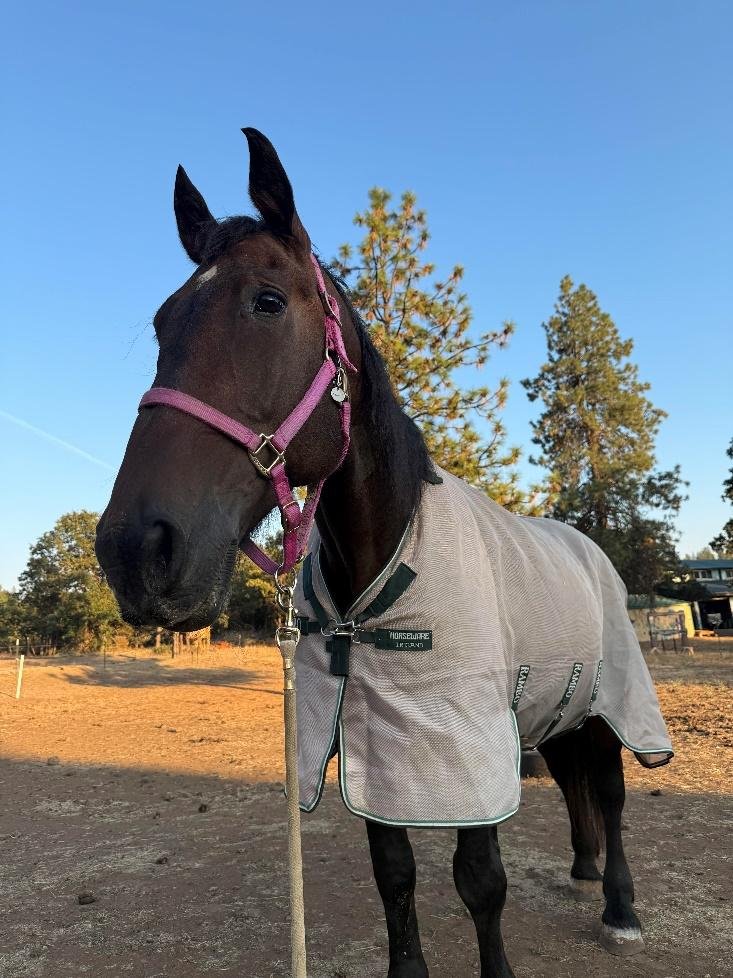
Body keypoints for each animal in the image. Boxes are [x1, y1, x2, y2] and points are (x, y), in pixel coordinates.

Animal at [96, 128, 672, 977]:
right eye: (164, 322)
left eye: (267, 302)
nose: (134, 549)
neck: (386, 553)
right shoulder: (372, 734)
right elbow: (393, 874)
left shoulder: (464, 742)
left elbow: (480, 881)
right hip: (554, 704)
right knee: (573, 784)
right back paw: (581, 868)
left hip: (608, 701)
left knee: (609, 791)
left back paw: (621, 906)